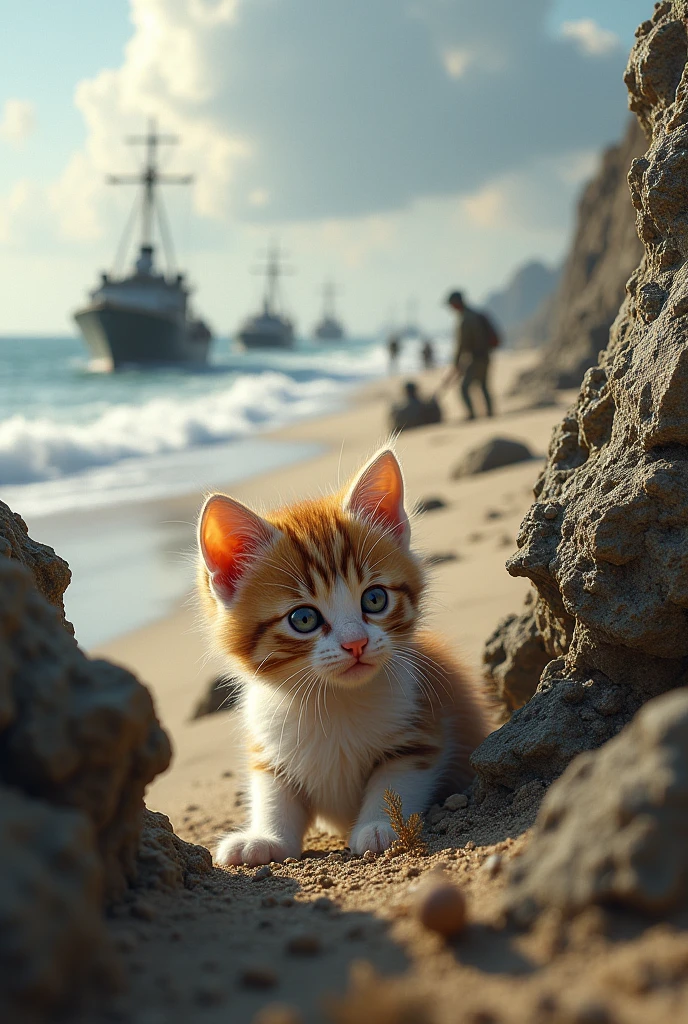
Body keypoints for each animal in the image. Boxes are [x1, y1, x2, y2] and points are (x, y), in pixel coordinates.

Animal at [197, 448, 495, 864]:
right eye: (303, 619)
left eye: (375, 599)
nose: (356, 643)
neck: (334, 700)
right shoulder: (268, 744)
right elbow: (273, 791)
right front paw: (264, 838)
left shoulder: (422, 726)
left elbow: (397, 777)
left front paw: (380, 826)